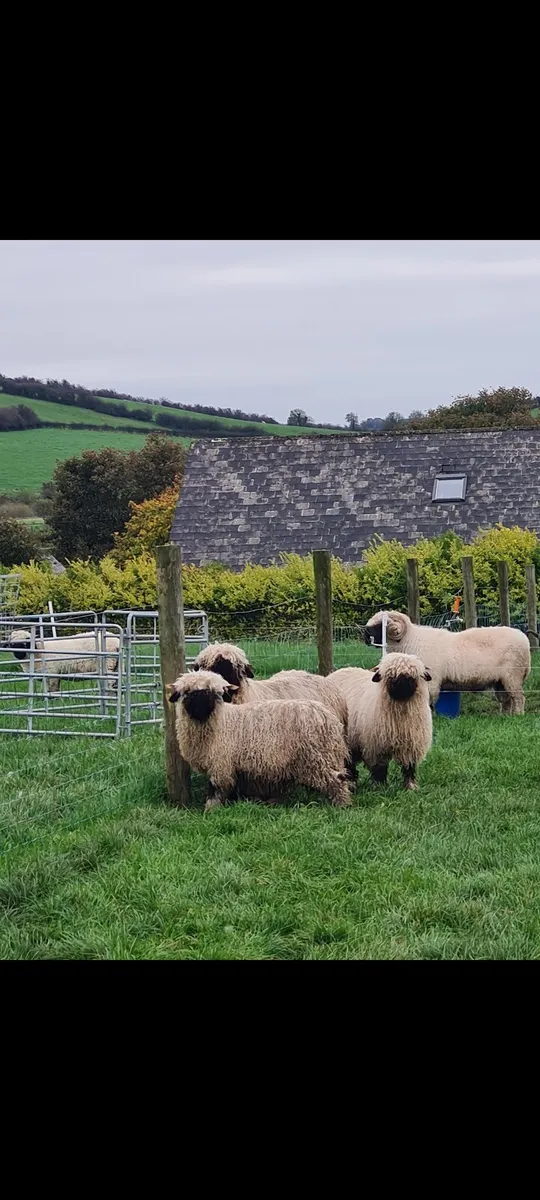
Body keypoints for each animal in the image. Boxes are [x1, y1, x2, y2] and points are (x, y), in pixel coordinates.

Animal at [168, 669, 352, 811]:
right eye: (187, 692)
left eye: (215, 693)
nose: (201, 706)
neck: (221, 722)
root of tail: (327, 716)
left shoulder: (221, 762)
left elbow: (215, 788)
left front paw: (211, 810)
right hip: (324, 756)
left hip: (317, 757)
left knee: (337, 780)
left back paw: (342, 805)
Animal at [332, 654, 433, 790]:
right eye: (390, 675)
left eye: (412, 676)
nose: (401, 683)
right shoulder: (377, 746)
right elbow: (380, 768)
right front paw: (381, 787)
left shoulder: (412, 744)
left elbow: (409, 767)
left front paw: (410, 786)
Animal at [364, 610, 531, 715]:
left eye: (381, 625)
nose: (365, 637)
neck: (409, 640)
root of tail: (524, 638)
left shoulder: (430, 680)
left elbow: (429, 700)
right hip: (500, 680)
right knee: (506, 699)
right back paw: (505, 716)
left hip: (513, 675)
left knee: (519, 697)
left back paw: (518, 715)